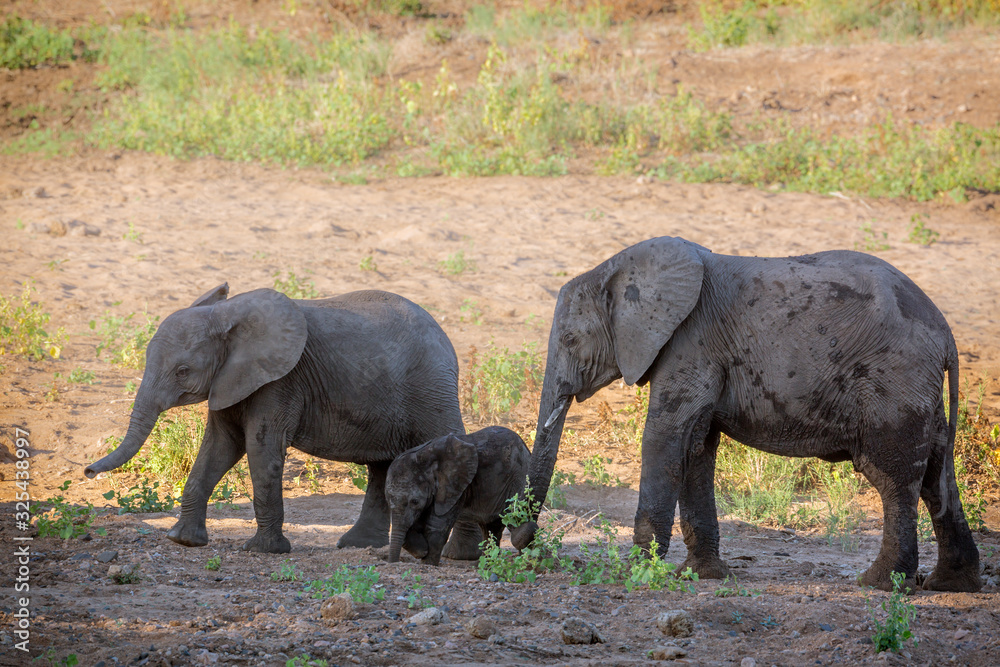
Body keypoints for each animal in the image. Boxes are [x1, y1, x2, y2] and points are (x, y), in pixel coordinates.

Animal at [84, 283, 474, 555]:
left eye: (183, 371)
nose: (87, 471)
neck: (225, 315)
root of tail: (446, 338)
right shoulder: (232, 379)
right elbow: (219, 448)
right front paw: (183, 541)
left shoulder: (280, 381)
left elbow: (261, 450)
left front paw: (264, 551)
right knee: (382, 467)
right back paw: (356, 545)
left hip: (431, 389)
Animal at [386, 426, 530, 566]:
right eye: (387, 500)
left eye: (415, 501)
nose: (394, 563)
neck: (423, 455)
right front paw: (421, 550)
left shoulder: (455, 486)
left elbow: (437, 525)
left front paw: (427, 563)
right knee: (490, 527)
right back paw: (486, 563)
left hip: (518, 477)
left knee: (513, 515)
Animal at [511, 236, 981, 593]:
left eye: (571, 340)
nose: (526, 544)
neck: (618, 267)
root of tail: (947, 336)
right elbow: (696, 448)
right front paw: (702, 576)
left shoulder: (690, 342)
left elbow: (665, 437)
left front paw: (637, 574)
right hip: (918, 389)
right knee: (937, 476)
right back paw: (950, 585)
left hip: (895, 380)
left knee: (894, 479)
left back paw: (880, 584)